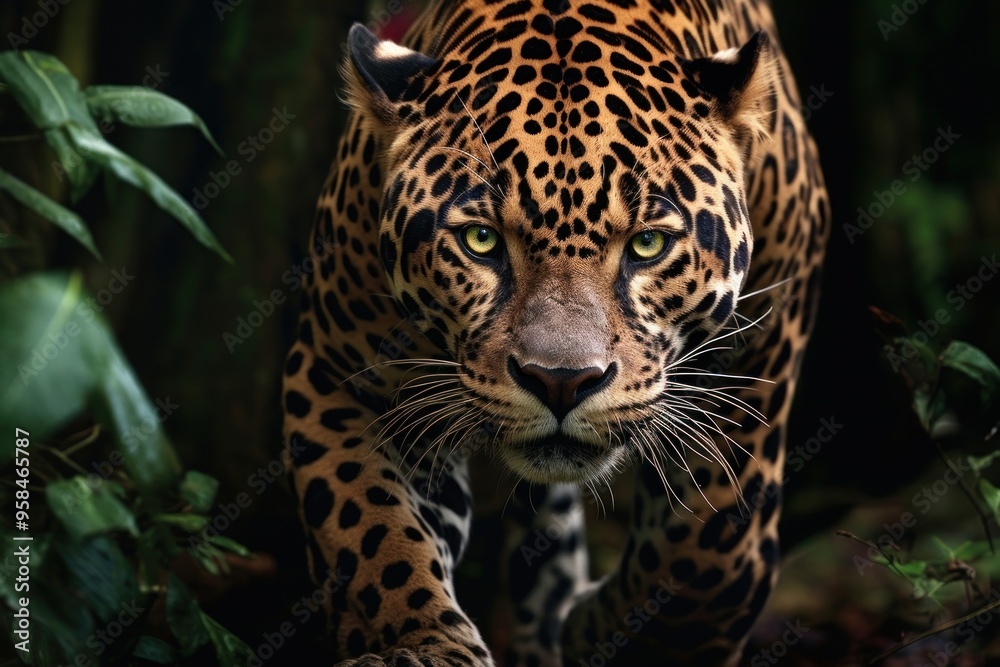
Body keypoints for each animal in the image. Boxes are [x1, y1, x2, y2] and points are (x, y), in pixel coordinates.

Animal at [281, 0, 829, 664]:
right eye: (481, 240)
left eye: (648, 245)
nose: (561, 382)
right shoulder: (339, 379)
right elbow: (370, 537)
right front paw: (423, 645)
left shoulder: (751, 382)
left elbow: (714, 557)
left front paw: (595, 628)